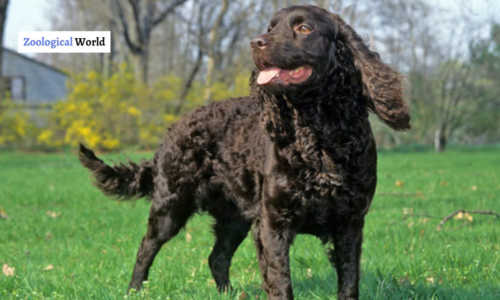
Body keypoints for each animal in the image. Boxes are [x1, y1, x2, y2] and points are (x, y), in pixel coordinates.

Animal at [78, 5, 408, 300]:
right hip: (171, 204)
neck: (318, 137)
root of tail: (173, 129)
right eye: (271, 27)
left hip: (234, 216)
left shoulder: (350, 223)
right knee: (146, 248)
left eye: (304, 28)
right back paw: (134, 290)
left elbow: (349, 282)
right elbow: (280, 282)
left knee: (217, 257)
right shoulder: (273, 223)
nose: (256, 42)